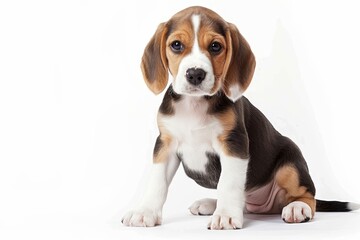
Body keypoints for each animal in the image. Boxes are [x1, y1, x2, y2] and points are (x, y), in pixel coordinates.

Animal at [122, 6, 358, 230]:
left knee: (308, 196)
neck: (194, 104)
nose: (195, 74)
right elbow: (157, 183)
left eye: (215, 46)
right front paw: (145, 212)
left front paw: (226, 216)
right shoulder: (165, 144)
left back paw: (297, 208)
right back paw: (210, 203)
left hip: (290, 165)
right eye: (177, 45)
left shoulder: (233, 144)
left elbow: (228, 184)